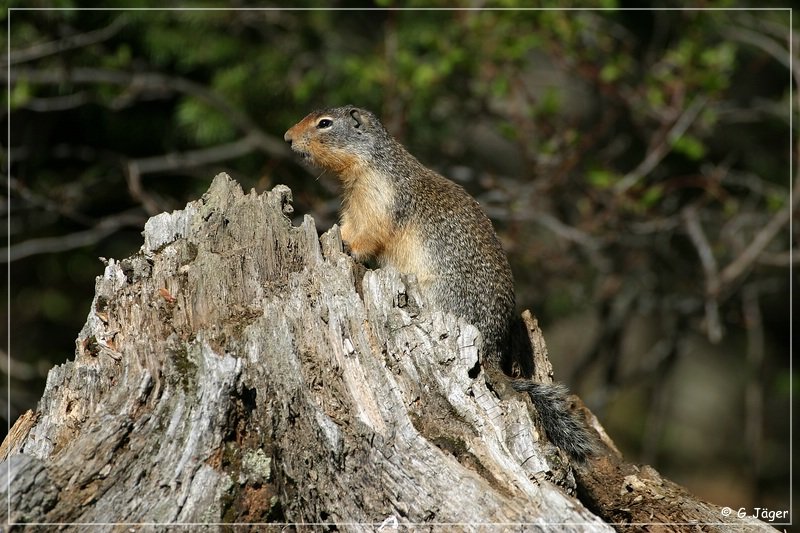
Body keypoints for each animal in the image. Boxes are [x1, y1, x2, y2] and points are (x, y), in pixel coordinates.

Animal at [286, 105, 592, 462]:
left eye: (325, 123)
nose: (287, 137)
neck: (370, 164)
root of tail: (491, 353)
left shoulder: (380, 201)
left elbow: (369, 234)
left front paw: (348, 248)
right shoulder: (355, 206)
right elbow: (349, 226)